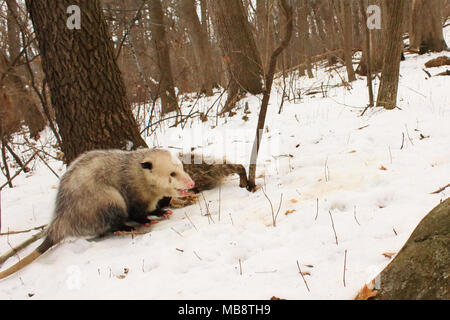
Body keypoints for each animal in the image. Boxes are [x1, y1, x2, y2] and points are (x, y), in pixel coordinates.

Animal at [0, 149, 194, 278]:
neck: (141, 175)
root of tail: (61, 220)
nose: (191, 183)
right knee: (113, 223)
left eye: (181, 168)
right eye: (172, 174)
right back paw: (127, 228)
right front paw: (147, 220)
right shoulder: (134, 193)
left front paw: (161, 212)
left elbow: (153, 208)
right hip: (107, 199)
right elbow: (136, 213)